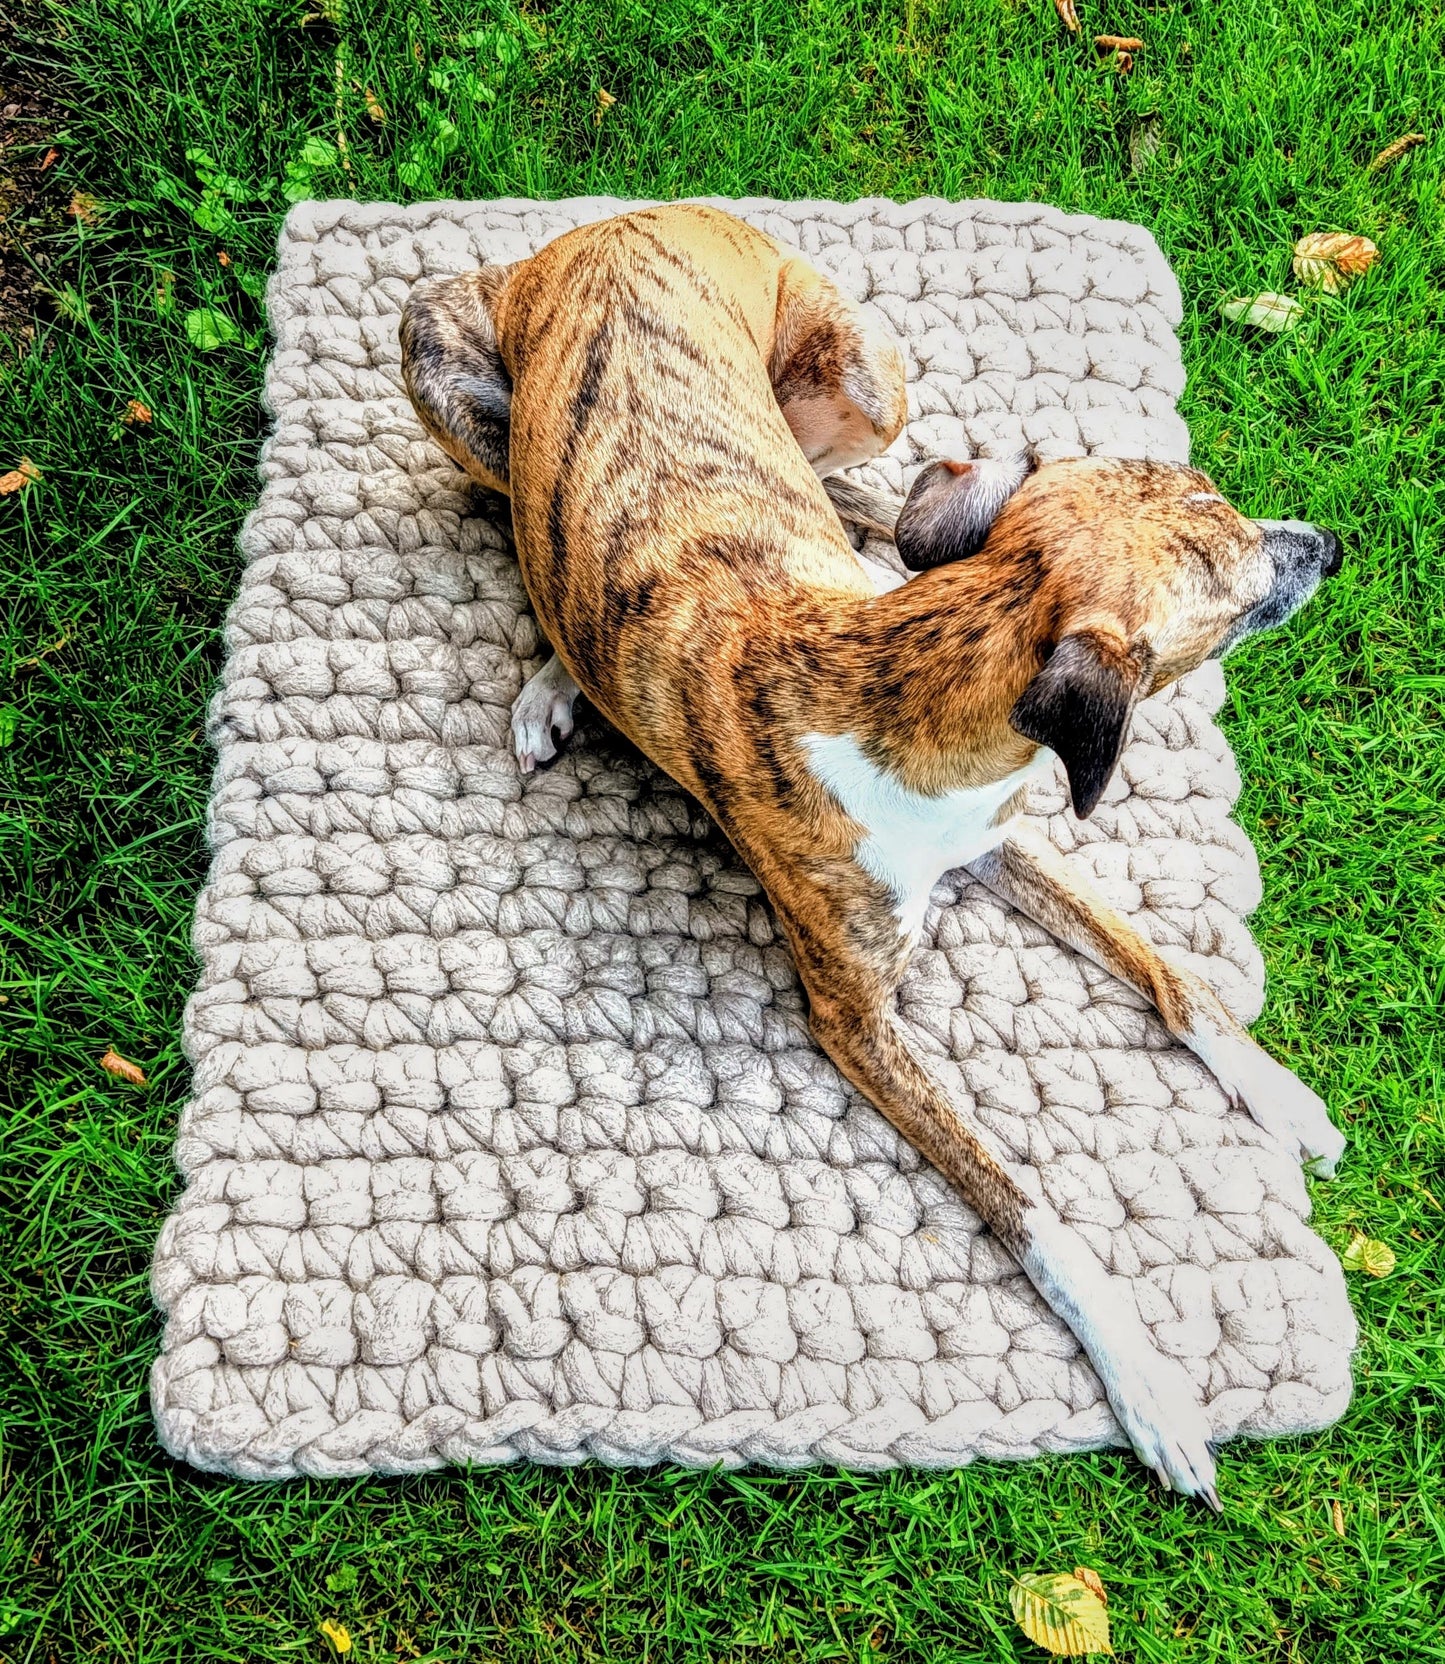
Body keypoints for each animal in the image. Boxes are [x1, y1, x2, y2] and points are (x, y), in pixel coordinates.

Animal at [401, 201, 1351, 1504]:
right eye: (1226, 577)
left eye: (1216, 496)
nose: (1331, 542)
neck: (892, 670)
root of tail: (611, 221)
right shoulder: (854, 1017)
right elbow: (1022, 1199)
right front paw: (1148, 1383)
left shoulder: (998, 842)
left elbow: (1165, 969)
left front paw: (1274, 1091)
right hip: (444, 367)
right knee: (545, 537)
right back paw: (559, 675)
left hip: (861, 390)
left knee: (858, 499)